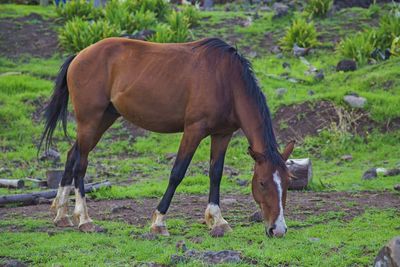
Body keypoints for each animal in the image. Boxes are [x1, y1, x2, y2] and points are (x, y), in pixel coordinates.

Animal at [40, 37, 296, 239]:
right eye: (262, 183)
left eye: (288, 182)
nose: (278, 230)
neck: (226, 81)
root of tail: (80, 55)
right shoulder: (193, 131)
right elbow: (177, 173)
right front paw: (159, 222)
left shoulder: (222, 134)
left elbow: (216, 174)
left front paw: (218, 221)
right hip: (90, 121)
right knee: (81, 164)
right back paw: (84, 219)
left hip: (103, 119)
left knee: (72, 155)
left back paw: (61, 214)